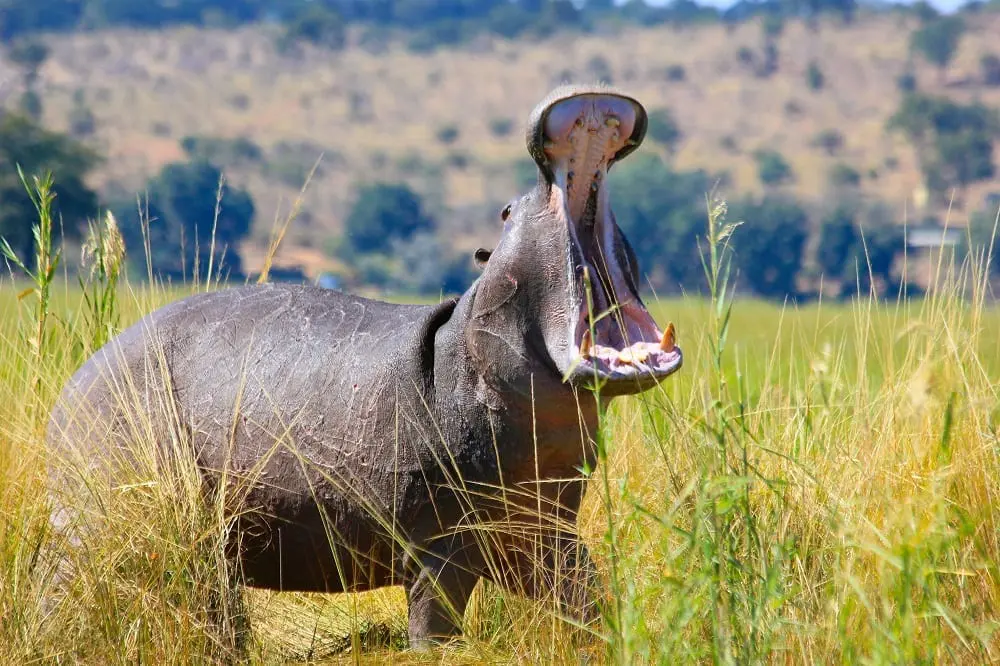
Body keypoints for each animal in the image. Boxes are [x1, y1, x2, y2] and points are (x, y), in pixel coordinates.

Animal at [47, 84, 683, 648]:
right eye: (505, 212)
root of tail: (70, 388)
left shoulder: (545, 534)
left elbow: (592, 605)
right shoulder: (438, 548)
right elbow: (434, 629)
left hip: (214, 546)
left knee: (219, 611)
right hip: (95, 522)